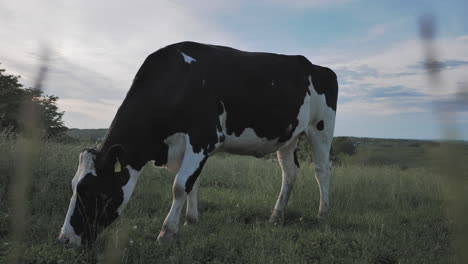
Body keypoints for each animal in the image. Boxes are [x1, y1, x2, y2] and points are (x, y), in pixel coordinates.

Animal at [58, 40, 338, 248]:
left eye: (95, 192)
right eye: (73, 187)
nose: (65, 239)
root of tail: (317, 67)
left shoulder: (204, 137)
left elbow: (180, 185)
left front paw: (167, 233)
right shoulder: (190, 146)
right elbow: (192, 183)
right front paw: (192, 220)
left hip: (321, 127)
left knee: (322, 170)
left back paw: (323, 213)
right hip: (288, 138)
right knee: (289, 173)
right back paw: (276, 216)